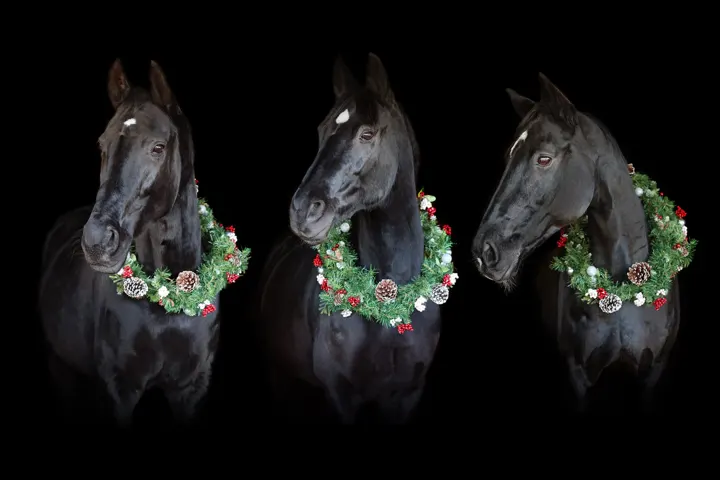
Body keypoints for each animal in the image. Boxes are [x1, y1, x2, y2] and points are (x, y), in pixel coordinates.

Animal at [39, 59, 223, 426]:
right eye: (102, 146)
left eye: (158, 147)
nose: (97, 241)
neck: (168, 302)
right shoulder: (119, 390)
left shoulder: (192, 388)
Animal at [257, 53, 443, 424]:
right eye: (321, 130)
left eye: (367, 134)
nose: (303, 211)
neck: (389, 305)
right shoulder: (341, 396)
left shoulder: (407, 395)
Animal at [472, 73, 685, 412]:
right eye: (508, 157)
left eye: (544, 158)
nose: (485, 252)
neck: (623, 291)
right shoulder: (578, 375)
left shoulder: (653, 372)